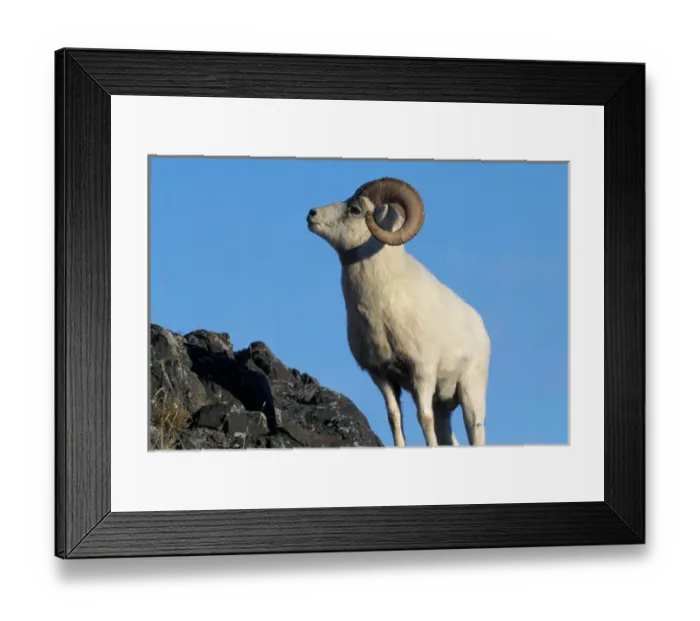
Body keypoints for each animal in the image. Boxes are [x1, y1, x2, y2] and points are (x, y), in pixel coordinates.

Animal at [306, 177, 490, 448]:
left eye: (355, 210)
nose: (312, 214)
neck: (380, 307)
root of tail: (481, 328)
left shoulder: (422, 373)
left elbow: (424, 419)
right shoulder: (382, 376)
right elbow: (394, 417)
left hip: (470, 394)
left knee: (475, 432)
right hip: (443, 403)